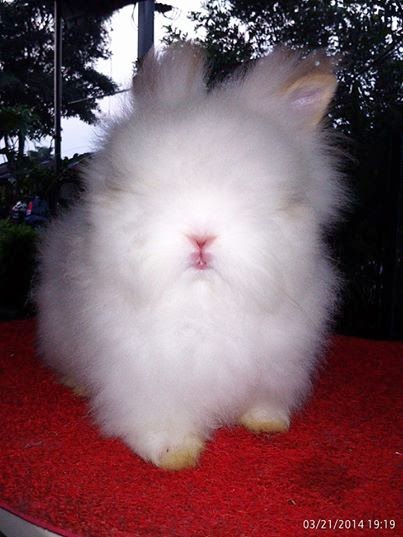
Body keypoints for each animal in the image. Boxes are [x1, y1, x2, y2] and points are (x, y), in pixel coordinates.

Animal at [36, 42, 346, 470]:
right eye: (150, 189)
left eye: (255, 194)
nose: (201, 238)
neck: (203, 304)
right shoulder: (144, 376)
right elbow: (158, 418)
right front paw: (174, 454)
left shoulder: (279, 361)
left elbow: (264, 401)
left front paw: (267, 421)